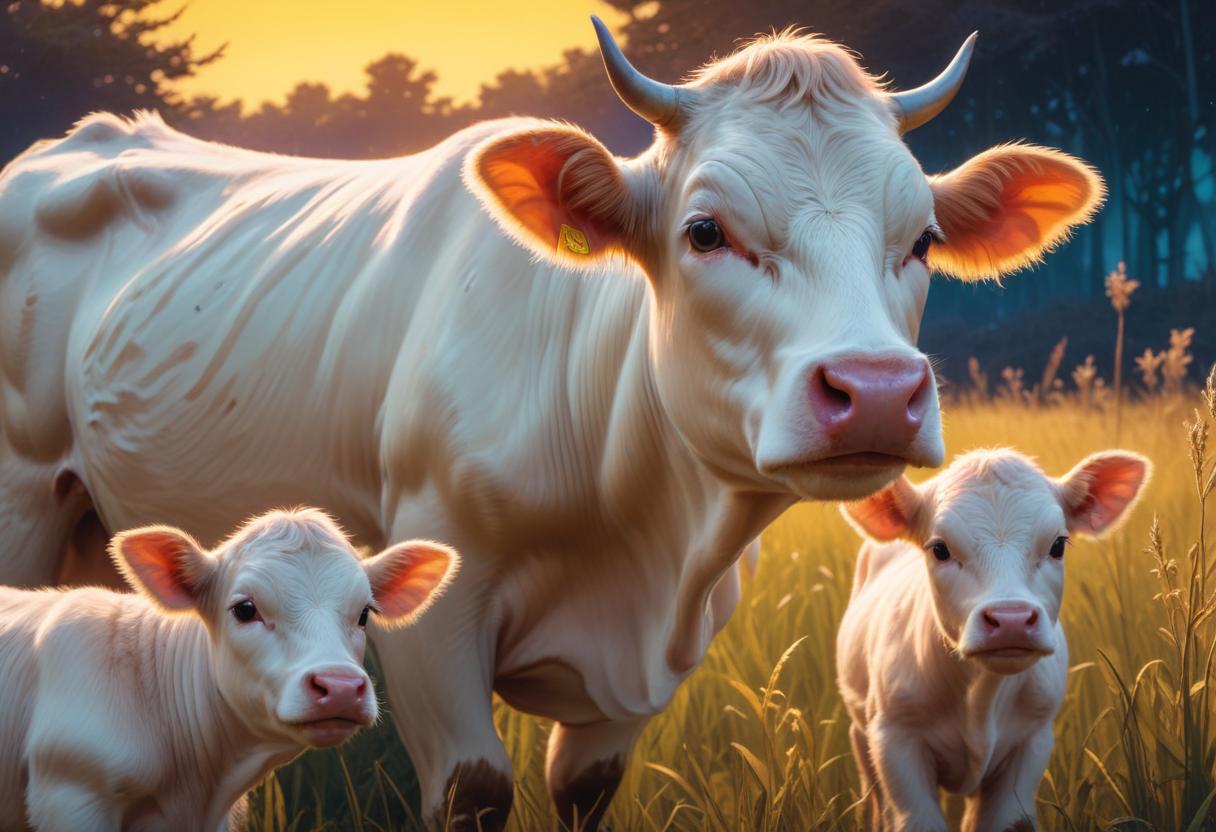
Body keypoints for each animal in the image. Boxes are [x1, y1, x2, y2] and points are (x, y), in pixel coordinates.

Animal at [837, 449, 1149, 831]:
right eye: (940, 549)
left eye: (1058, 545)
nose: (1011, 619)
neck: (980, 696)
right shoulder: (895, 740)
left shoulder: (1032, 742)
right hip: (860, 733)